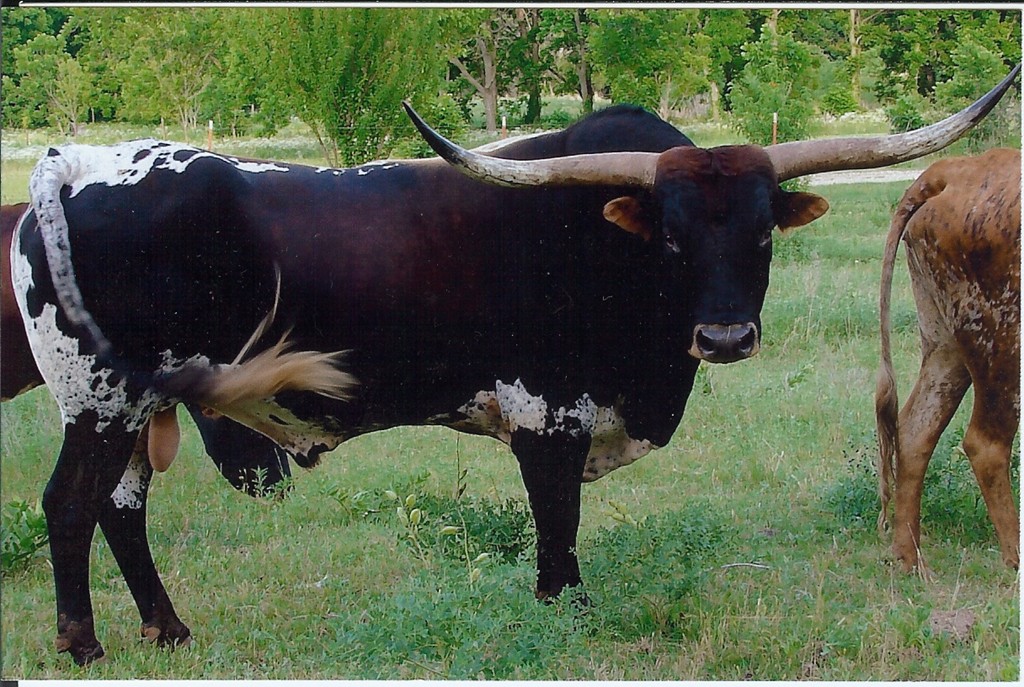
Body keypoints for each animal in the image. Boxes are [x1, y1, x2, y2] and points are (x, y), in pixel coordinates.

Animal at [876, 147, 1021, 574]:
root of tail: (951, 170)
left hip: (945, 343)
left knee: (915, 428)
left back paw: (908, 557)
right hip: (1001, 343)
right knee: (985, 443)